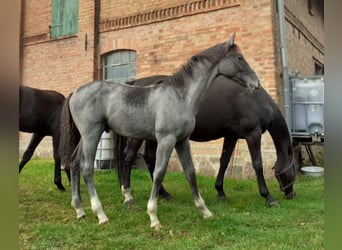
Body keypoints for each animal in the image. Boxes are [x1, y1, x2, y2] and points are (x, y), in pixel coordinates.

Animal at [60, 34, 260, 229]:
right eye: (239, 57)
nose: (256, 83)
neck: (180, 96)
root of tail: (75, 92)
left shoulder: (182, 141)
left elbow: (190, 173)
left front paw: (205, 211)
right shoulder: (166, 140)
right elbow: (159, 173)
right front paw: (153, 217)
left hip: (85, 137)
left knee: (75, 163)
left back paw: (80, 210)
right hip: (92, 134)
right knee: (87, 168)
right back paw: (101, 214)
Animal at [118, 74, 296, 207]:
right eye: (293, 170)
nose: (291, 194)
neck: (254, 98)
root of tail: (135, 83)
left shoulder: (231, 136)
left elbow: (224, 161)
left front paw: (220, 192)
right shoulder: (253, 134)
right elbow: (257, 164)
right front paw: (268, 197)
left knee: (150, 158)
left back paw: (163, 193)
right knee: (129, 157)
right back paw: (129, 197)